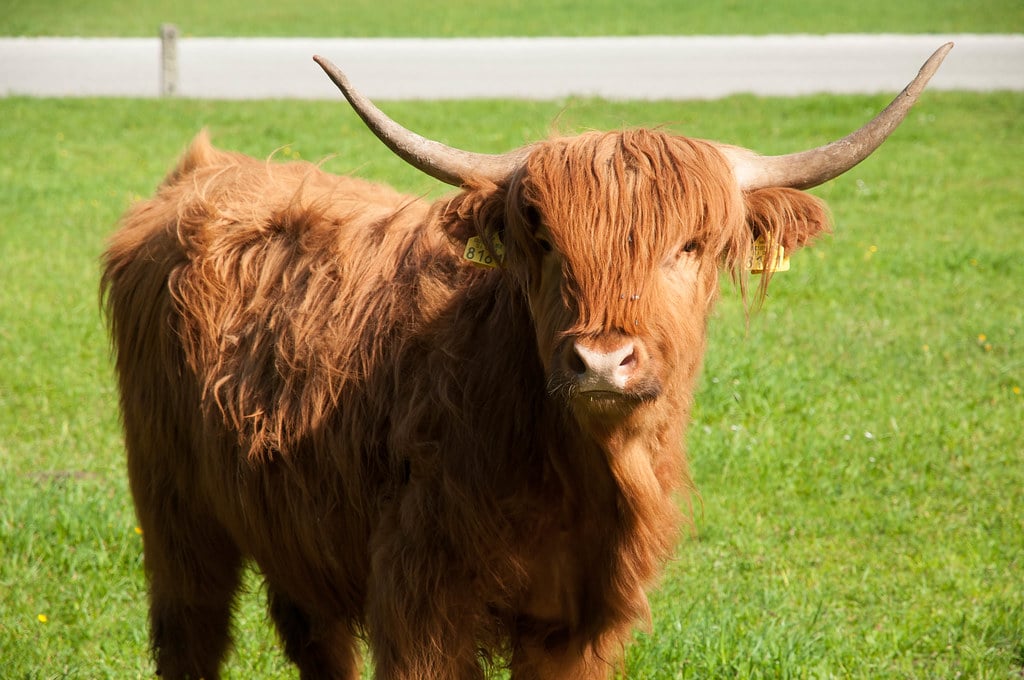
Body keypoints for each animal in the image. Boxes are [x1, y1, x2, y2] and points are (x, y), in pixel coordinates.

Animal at [101, 44, 951, 679]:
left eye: (691, 245)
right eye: (544, 242)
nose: (602, 360)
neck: (573, 476)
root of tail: (204, 173)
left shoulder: (578, 625)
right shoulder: (421, 608)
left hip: (288, 523)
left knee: (311, 632)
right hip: (173, 505)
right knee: (191, 631)